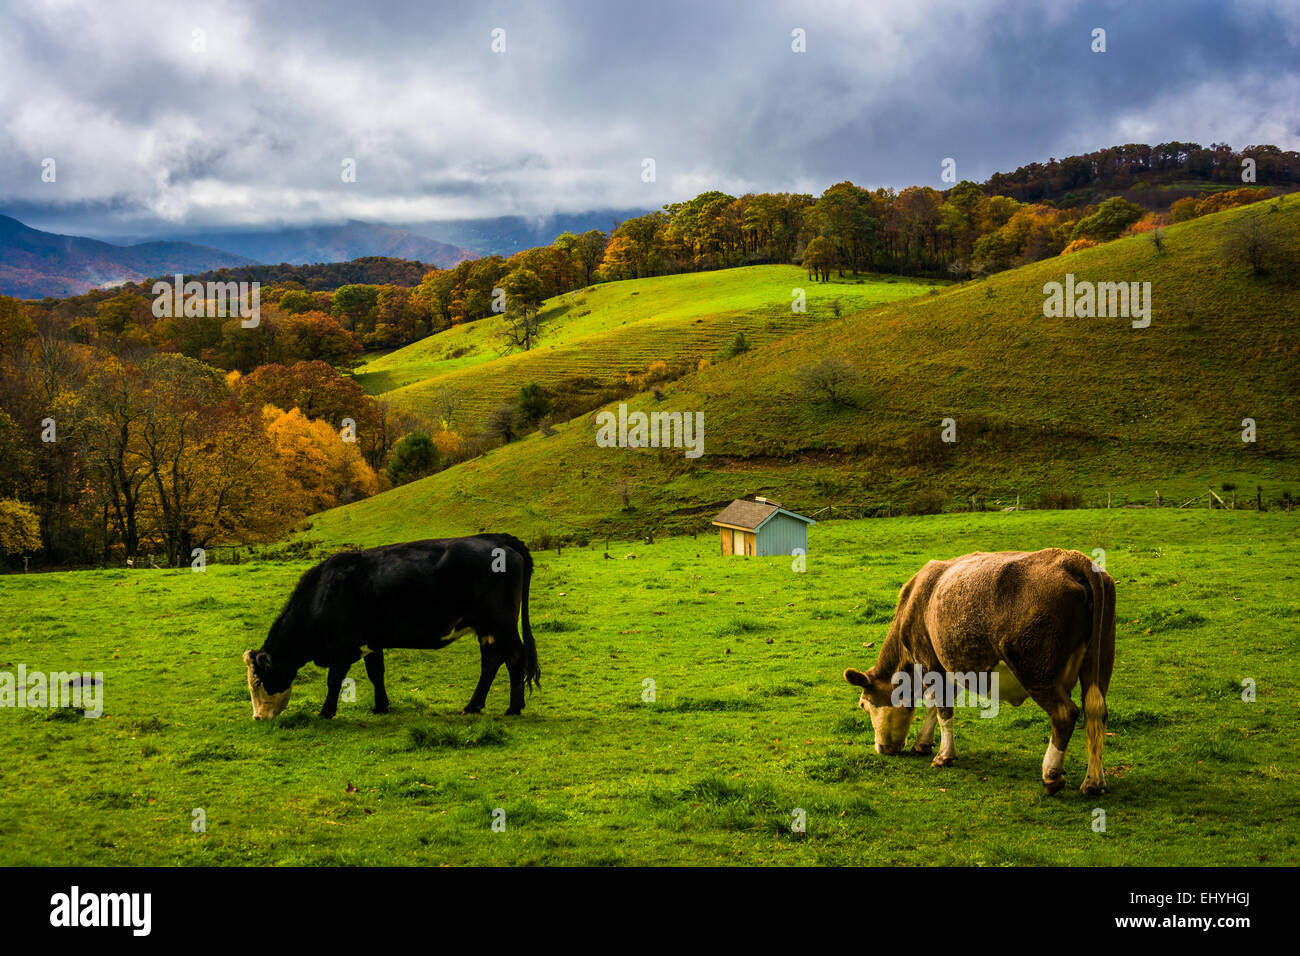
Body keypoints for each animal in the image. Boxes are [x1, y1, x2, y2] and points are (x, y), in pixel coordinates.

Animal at [243, 534, 540, 721]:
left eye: (257, 681)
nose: (258, 717)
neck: (322, 592)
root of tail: (498, 539)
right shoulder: (371, 643)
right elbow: (376, 674)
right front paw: (381, 706)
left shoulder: (341, 646)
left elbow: (334, 680)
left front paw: (326, 712)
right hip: (486, 628)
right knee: (491, 662)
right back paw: (473, 705)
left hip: (501, 624)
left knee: (515, 657)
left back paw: (514, 707)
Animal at [843, 548, 1115, 795]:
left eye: (864, 705)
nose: (880, 748)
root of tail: (1072, 559)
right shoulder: (945, 667)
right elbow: (934, 707)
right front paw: (923, 743)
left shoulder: (929, 660)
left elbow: (943, 710)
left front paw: (944, 755)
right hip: (1099, 659)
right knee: (1096, 712)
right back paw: (1094, 782)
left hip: (1035, 668)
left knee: (1064, 714)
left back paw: (1051, 776)